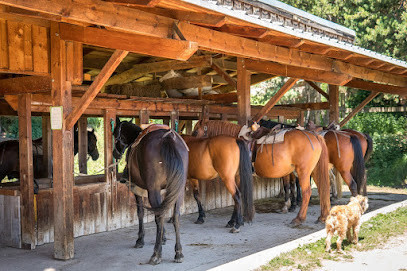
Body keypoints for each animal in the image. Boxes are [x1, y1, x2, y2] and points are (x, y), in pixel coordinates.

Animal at [113, 119, 190, 266]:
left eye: (114, 135)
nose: (115, 154)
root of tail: (167, 138)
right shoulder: (163, 191)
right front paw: (163, 237)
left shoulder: (138, 190)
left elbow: (141, 213)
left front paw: (140, 240)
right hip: (178, 191)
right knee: (175, 216)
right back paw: (179, 252)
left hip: (153, 190)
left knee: (159, 216)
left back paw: (156, 254)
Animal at [194, 121, 332, 227]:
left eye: (195, 132)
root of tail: (315, 136)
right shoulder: (237, 176)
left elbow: (238, 195)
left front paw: (238, 220)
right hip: (315, 171)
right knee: (323, 189)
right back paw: (322, 217)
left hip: (303, 172)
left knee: (307, 192)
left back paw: (299, 218)